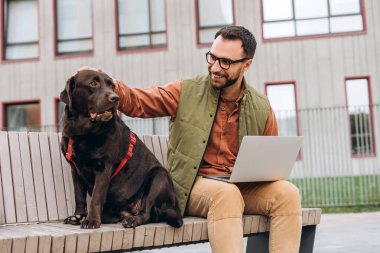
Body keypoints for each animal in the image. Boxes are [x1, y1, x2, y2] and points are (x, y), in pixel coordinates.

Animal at [60, 69, 183, 229]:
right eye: (93, 83)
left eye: (112, 86)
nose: (115, 98)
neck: (82, 133)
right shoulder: (75, 168)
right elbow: (79, 196)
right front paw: (77, 216)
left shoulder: (103, 167)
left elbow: (96, 197)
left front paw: (91, 220)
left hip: (158, 177)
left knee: (147, 213)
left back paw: (132, 220)